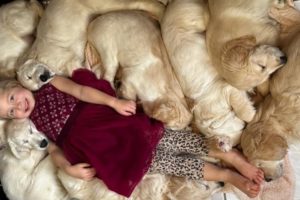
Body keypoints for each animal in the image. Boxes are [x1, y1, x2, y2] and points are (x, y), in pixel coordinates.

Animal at [162, 0, 255, 148]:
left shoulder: (227, 91)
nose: (244, 126)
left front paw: (250, 114)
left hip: (193, 17)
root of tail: (170, 6)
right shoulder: (229, 89)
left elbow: (242, 110)